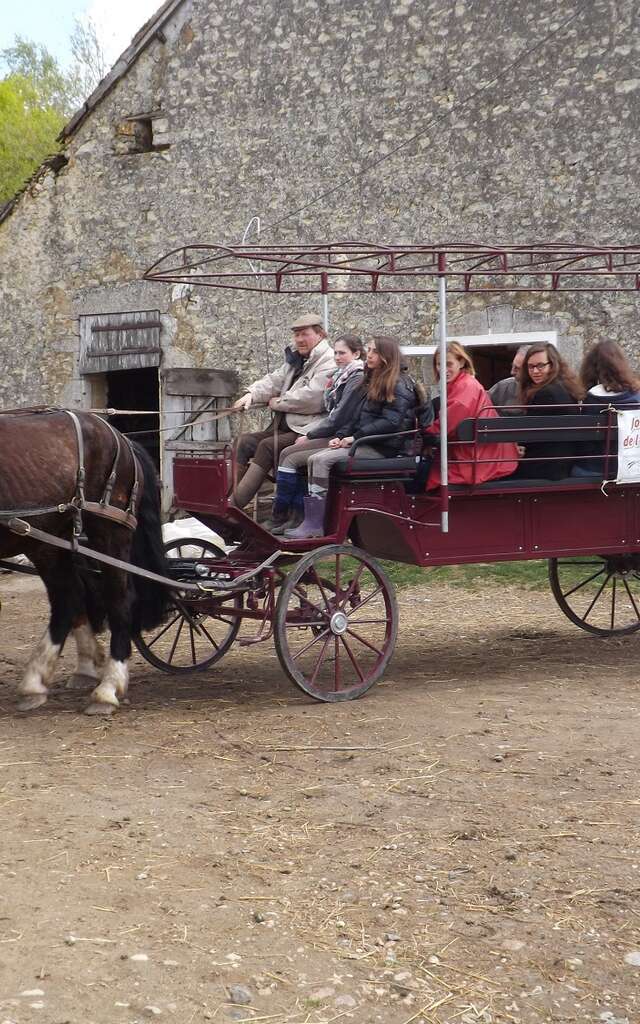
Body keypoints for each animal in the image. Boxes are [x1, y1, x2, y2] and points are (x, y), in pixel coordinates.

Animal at [0, 405, 169, 712]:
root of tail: (122, 439)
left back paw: (108, 687)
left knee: (118, 599)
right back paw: (37, 683)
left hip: (108, 531)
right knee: (69, 596)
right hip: (46, 540)